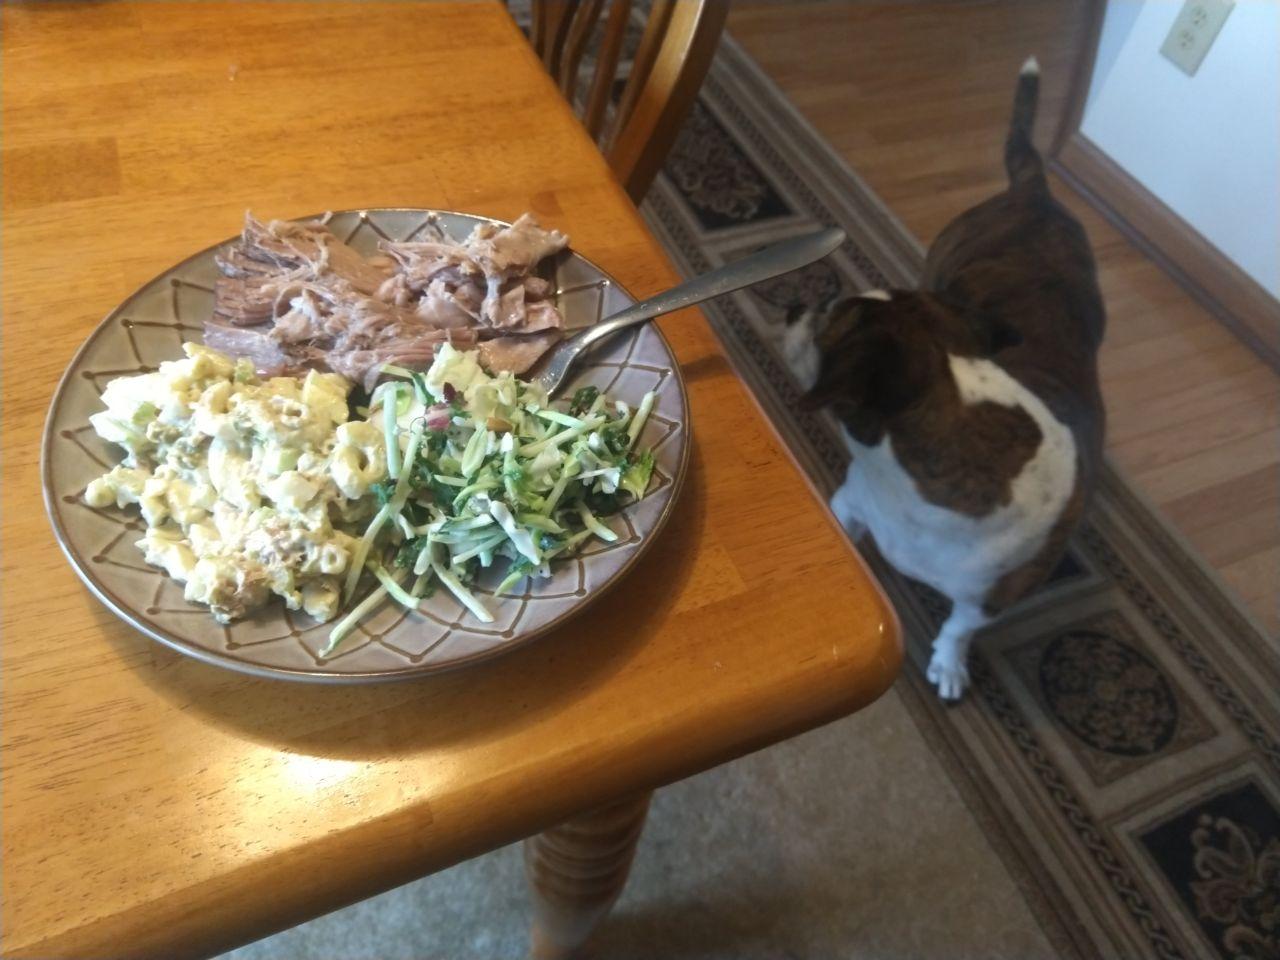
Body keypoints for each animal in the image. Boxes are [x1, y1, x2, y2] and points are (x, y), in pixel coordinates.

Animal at [783, 60, 1105, 701]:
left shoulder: (992, 597)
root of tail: (1035, 193)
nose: (793, 307)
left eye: (828, 318)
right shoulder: (851, 504)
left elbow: (959, 626)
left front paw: (950, 662)